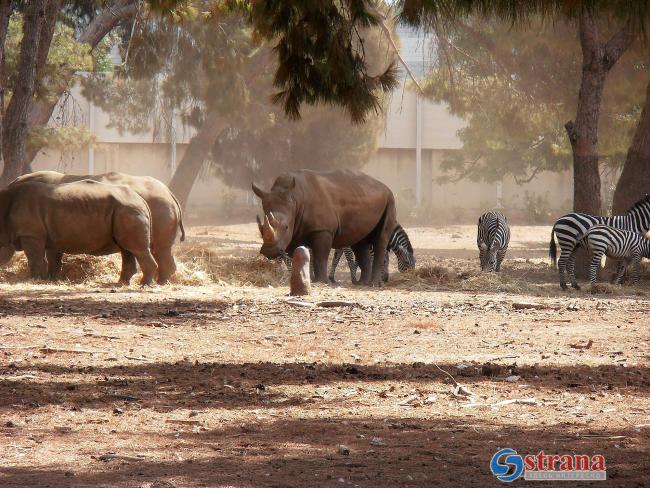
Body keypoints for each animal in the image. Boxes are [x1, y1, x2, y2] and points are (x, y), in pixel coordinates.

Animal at [8, 170, 185, 282]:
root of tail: (170, 194)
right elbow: (54, 254)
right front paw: (53, 278)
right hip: (159, 206)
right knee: (158, 249)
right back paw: (160, 281)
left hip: (158, 206)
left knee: (158, 249)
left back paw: (159, 282)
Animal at [252, 169, 394, 286]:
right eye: (261, 228)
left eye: (286, 227)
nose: (270, 252)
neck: (295, 199)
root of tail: (384, 186)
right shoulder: (296, 231)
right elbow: (298, 255)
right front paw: (304, 278)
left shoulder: (323, 229)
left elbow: (320, 256)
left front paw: (320, 282)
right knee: (360, 241)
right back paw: (362, 283)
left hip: (390, 199)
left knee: (381, 239)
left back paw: (374, 284)